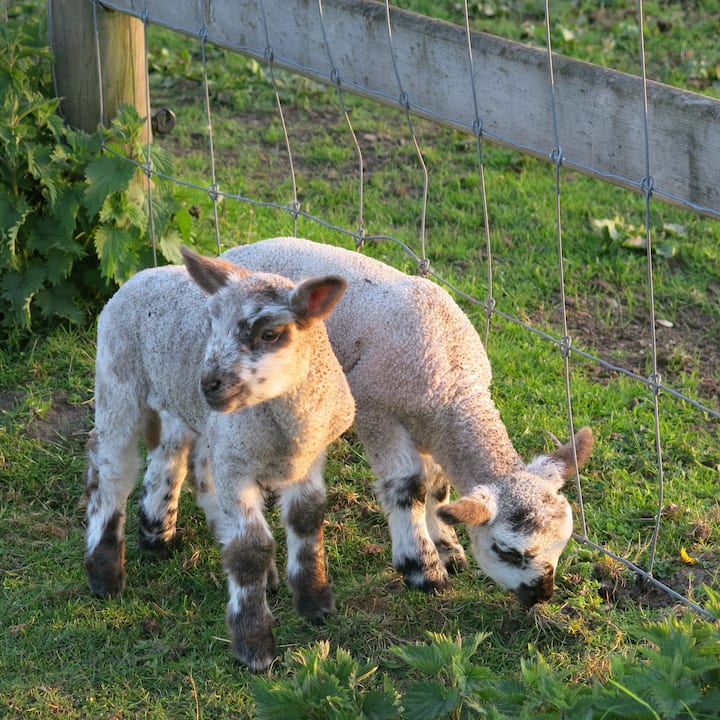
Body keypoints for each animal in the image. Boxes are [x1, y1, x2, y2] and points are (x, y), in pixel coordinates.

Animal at [84, 247, 355, 671]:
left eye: (269, 333)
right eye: (211, 322)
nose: (209, 384)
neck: (284, 430)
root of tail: (142, 274)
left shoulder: (308, 458)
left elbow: (307, 517)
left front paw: (315, 602)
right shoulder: (236, 462)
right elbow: (251, 549)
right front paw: (255, 646)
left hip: (185, 406)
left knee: (174, 456)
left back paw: (156, 533)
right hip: (117, 377)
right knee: (112, 470)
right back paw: (105, 574)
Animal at [221, 236, 594, 607]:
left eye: (562, 543)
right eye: (507, 551)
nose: (541, 595)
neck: (454, 384)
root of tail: (235, 251)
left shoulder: (432, 427)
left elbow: (438, 486)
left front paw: (447, 547)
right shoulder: (376, 409)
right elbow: (408, 485)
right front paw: (423, 567)